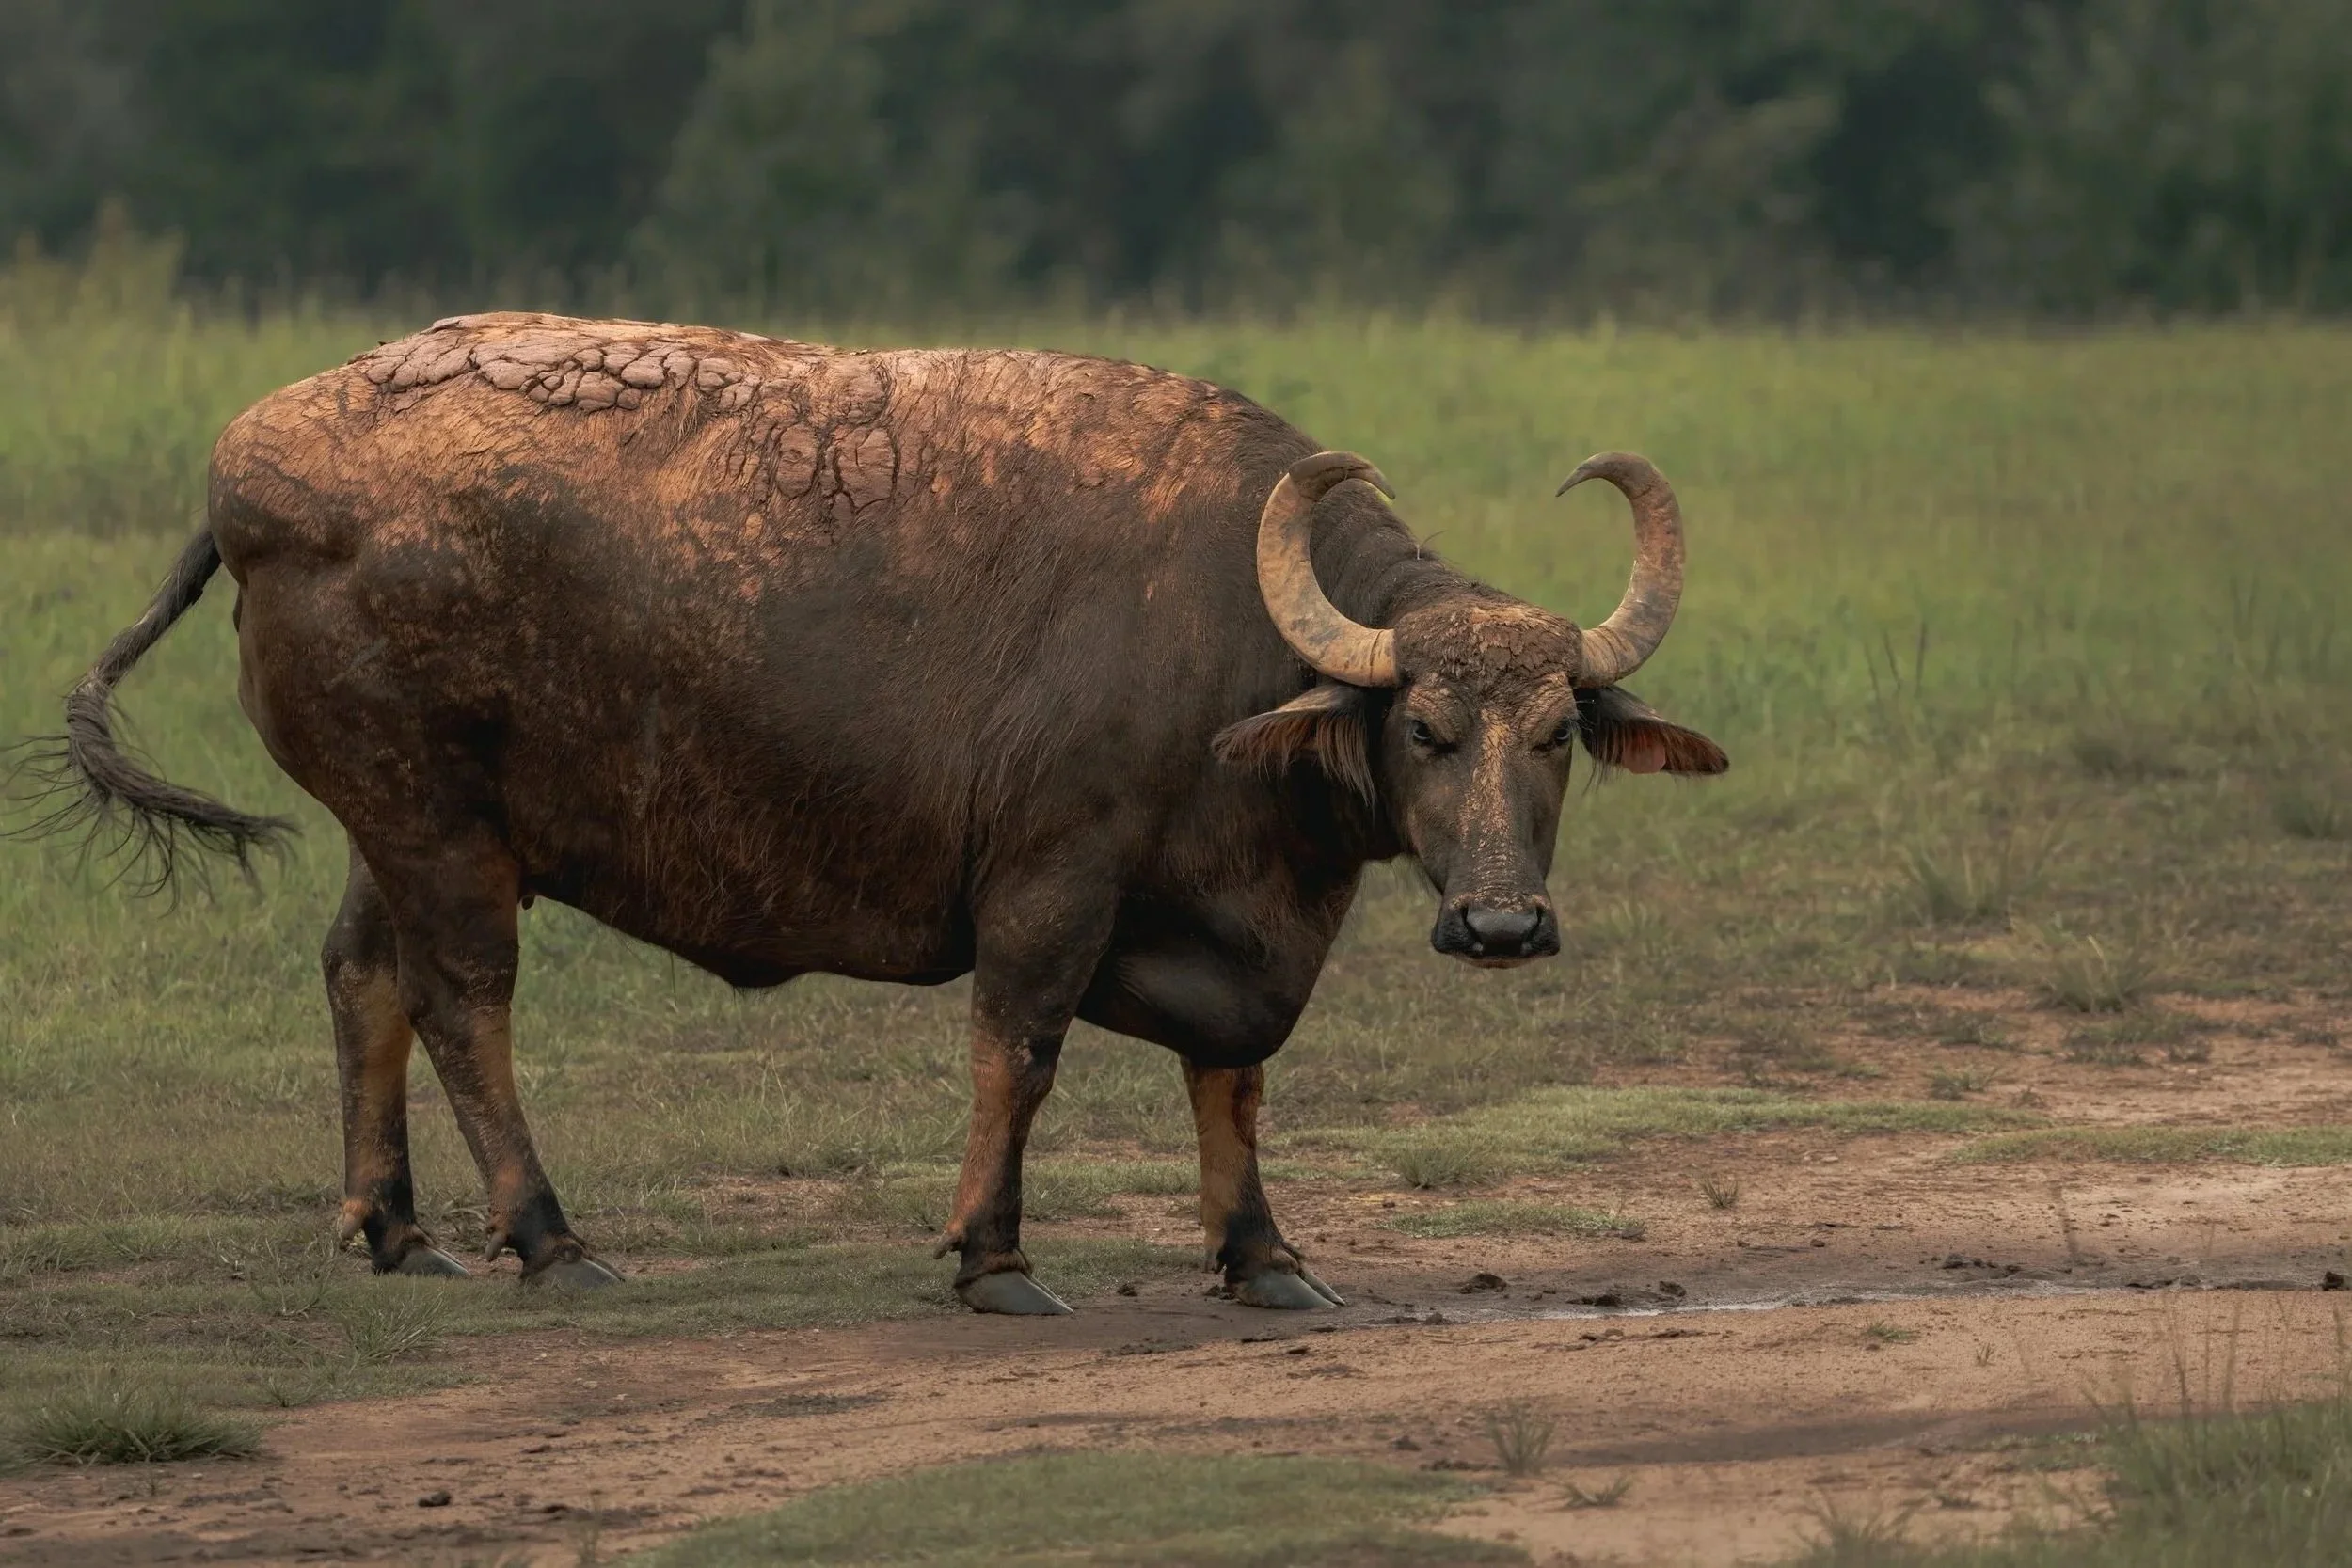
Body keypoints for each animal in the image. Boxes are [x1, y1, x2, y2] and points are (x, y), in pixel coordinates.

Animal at [19, 313, 1724, 1313]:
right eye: (1424, 729)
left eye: (1556, 736)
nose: (1499, 922)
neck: (1229, 635)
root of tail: (249, 473)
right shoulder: (1052, 876)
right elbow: (1018, 1050)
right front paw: (992, 1255)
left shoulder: (1241, 923)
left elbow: (1233, 1075)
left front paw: (1264, 1256)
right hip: (436, 822)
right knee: (462, 1001)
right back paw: (551, 1234)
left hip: (404, 822)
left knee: (361, 975)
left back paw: (390, 1224)